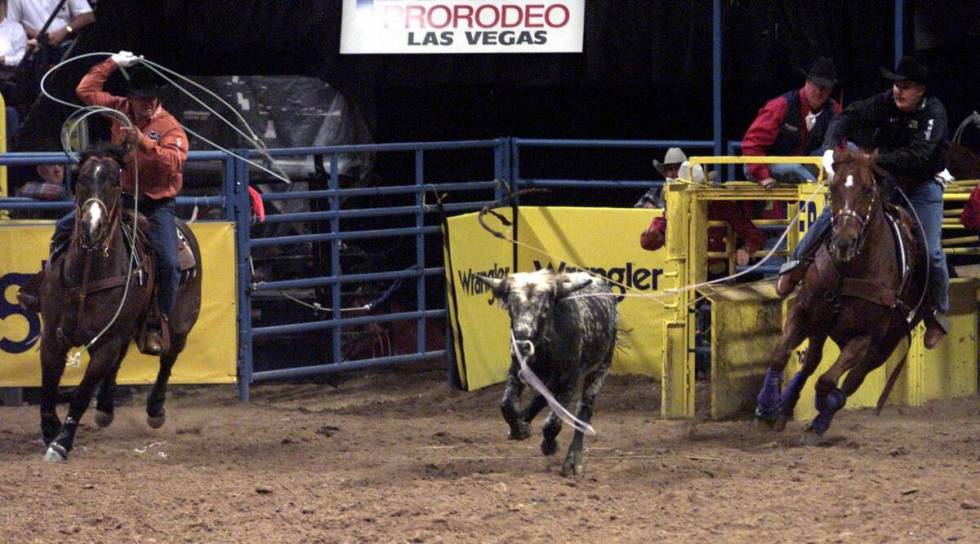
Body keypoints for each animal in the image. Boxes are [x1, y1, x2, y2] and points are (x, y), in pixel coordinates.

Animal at [37, 144, 203, 460]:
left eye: (115, 182)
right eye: (81, 179)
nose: (92, 226)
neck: (88, 274)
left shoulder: (107, 342)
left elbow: (81, 393)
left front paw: (61, 443)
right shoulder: (53, 334)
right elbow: (49, 385)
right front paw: (50, 428)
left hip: (181, 324)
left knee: (168, 358)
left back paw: (155, 410)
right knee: (122, 359)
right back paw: (104, 408)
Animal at [756, 150, 928, 442]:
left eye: (868, 189)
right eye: (833, 188)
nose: (845, 240)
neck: (849, 271)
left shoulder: (865, 337)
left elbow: (828, 381)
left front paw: (822, 407)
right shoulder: (803, 311)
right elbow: (780, 355)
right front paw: (767, 408)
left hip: (884, 344)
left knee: (849, 381)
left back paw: (820, 421)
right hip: (821, 326)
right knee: (810, 362)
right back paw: (784, 407)